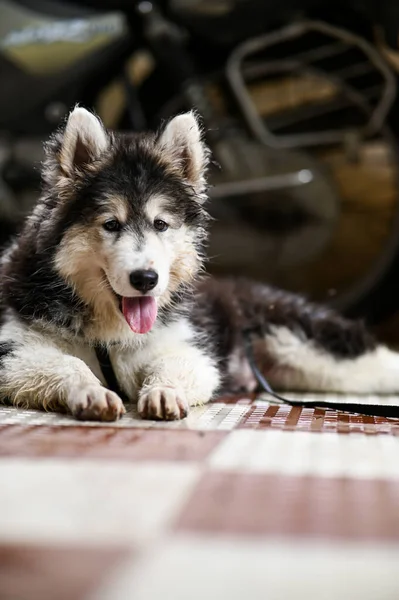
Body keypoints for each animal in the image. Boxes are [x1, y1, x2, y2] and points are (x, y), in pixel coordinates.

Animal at [0, 108, 399, 420]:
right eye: (111, 224)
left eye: (161, 224)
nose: (146, 279)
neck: (109, 332)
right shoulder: (13, 350)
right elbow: (68, 364)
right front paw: (89, 390)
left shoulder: (191, 346)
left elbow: (173, 364)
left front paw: (164, 390)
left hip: (311, 343)